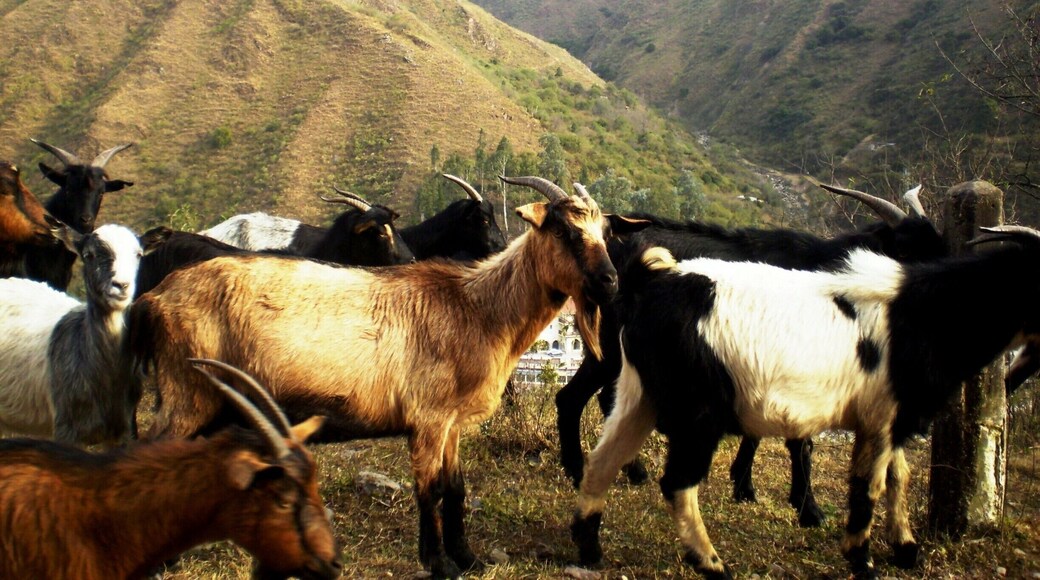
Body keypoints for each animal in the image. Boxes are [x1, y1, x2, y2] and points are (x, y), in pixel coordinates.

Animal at [130, 175, 648, 579]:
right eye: (564, 229)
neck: (477, 308)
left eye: (604, 232)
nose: (609, 281)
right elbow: (430, 490)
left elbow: (456, 487)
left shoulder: (451, 423)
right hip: (186, 391)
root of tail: (155, 298)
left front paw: (468, 558)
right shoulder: (428, 418)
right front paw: (438, 563)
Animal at [557, 182, 944, 528]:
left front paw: (744, 486)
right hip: (610, 347)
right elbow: (800, 441)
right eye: (904, 253)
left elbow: (756, 430)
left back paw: (630, 469)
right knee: (572, 397)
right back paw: (578, 471)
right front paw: (809, 509)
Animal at [571, 225, 1040, 579]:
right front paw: (862, 561)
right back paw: (712, 564)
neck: (924, 312)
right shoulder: (882, 415)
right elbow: (868, 485)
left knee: (603, 460)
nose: (1019, 375)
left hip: (639, 394)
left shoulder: (891, 419)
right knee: (677, 482)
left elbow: (897, 476)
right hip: (698, 411)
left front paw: (905, 548)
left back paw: (589, 546)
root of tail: (649, 281)